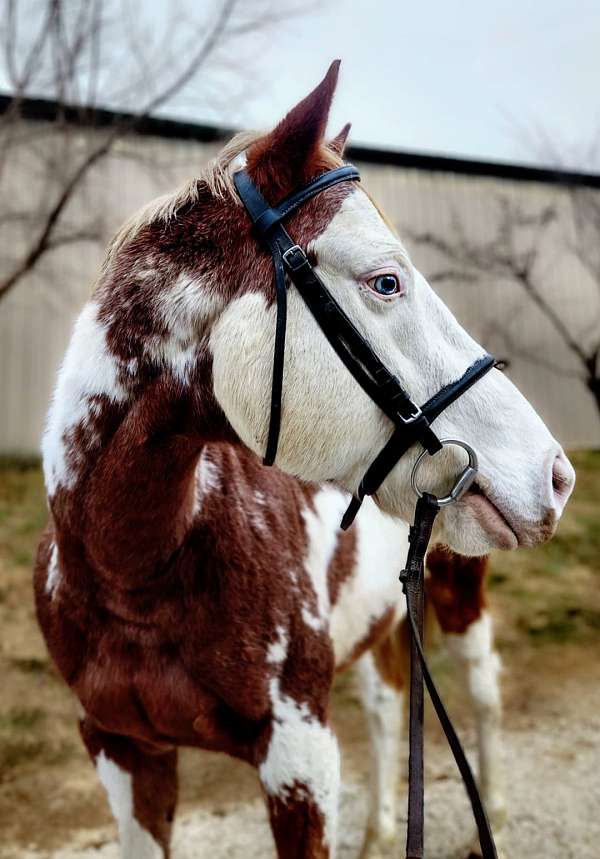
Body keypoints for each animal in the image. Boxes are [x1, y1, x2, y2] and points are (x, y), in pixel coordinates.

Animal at [35, 62, 576, 859]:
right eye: (386, 281)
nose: (554, 474)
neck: (136, 573)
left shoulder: (297, 755)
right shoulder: (122, 753)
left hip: (459, 596)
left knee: (483, 692)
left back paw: (497, 818)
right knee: (387, 703)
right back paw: (380, 831)